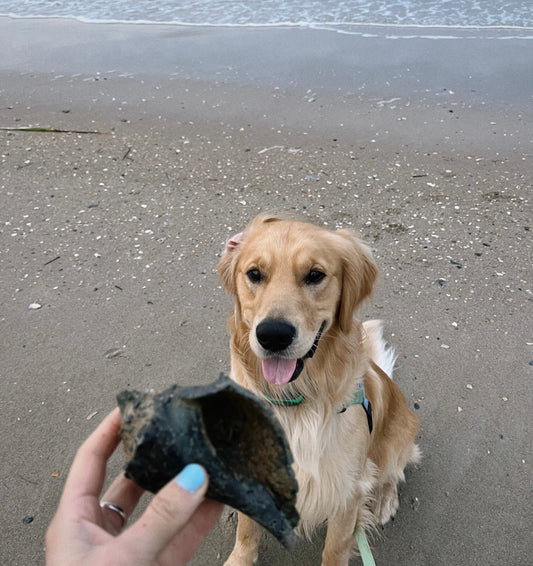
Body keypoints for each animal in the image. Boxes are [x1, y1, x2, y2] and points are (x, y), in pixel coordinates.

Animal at [217, 215, 420, 564]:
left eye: (315, 275)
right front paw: (239, 557)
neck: (295, 403)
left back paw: (385, 499)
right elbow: (246, 531)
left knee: (394, 471)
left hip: (397, 437)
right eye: (255, 274)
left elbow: (335, 548)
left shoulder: (346, 491)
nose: (273, 335)